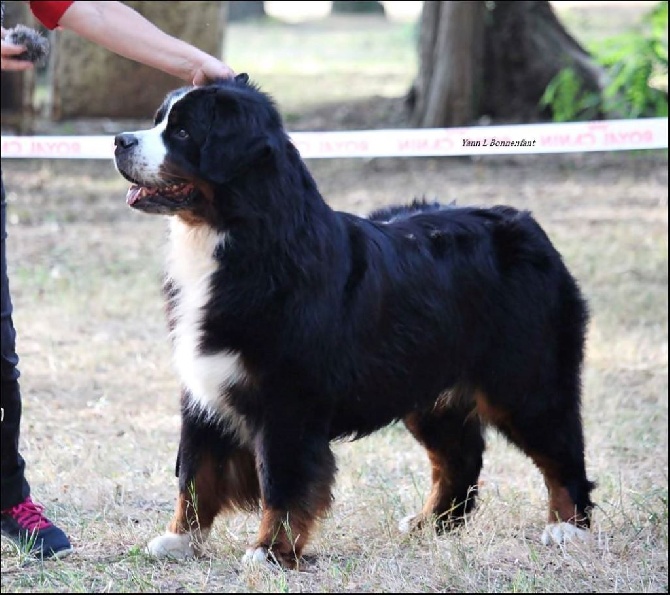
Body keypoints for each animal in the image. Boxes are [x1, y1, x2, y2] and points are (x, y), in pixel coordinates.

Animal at [113, 75, 596, 572]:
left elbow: (282, 482)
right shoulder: (203, 389)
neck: (239, 240)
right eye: (159, 121)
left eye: (183, 132)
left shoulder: (288, 401)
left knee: (562, 452)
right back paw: (429, 523)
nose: (119, 140)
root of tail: (526, 223)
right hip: (426, 389)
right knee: (460, 459)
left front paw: (269, 551)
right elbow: (195, 473)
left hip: (525, 382)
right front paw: (180, 539)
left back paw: (567, 527)